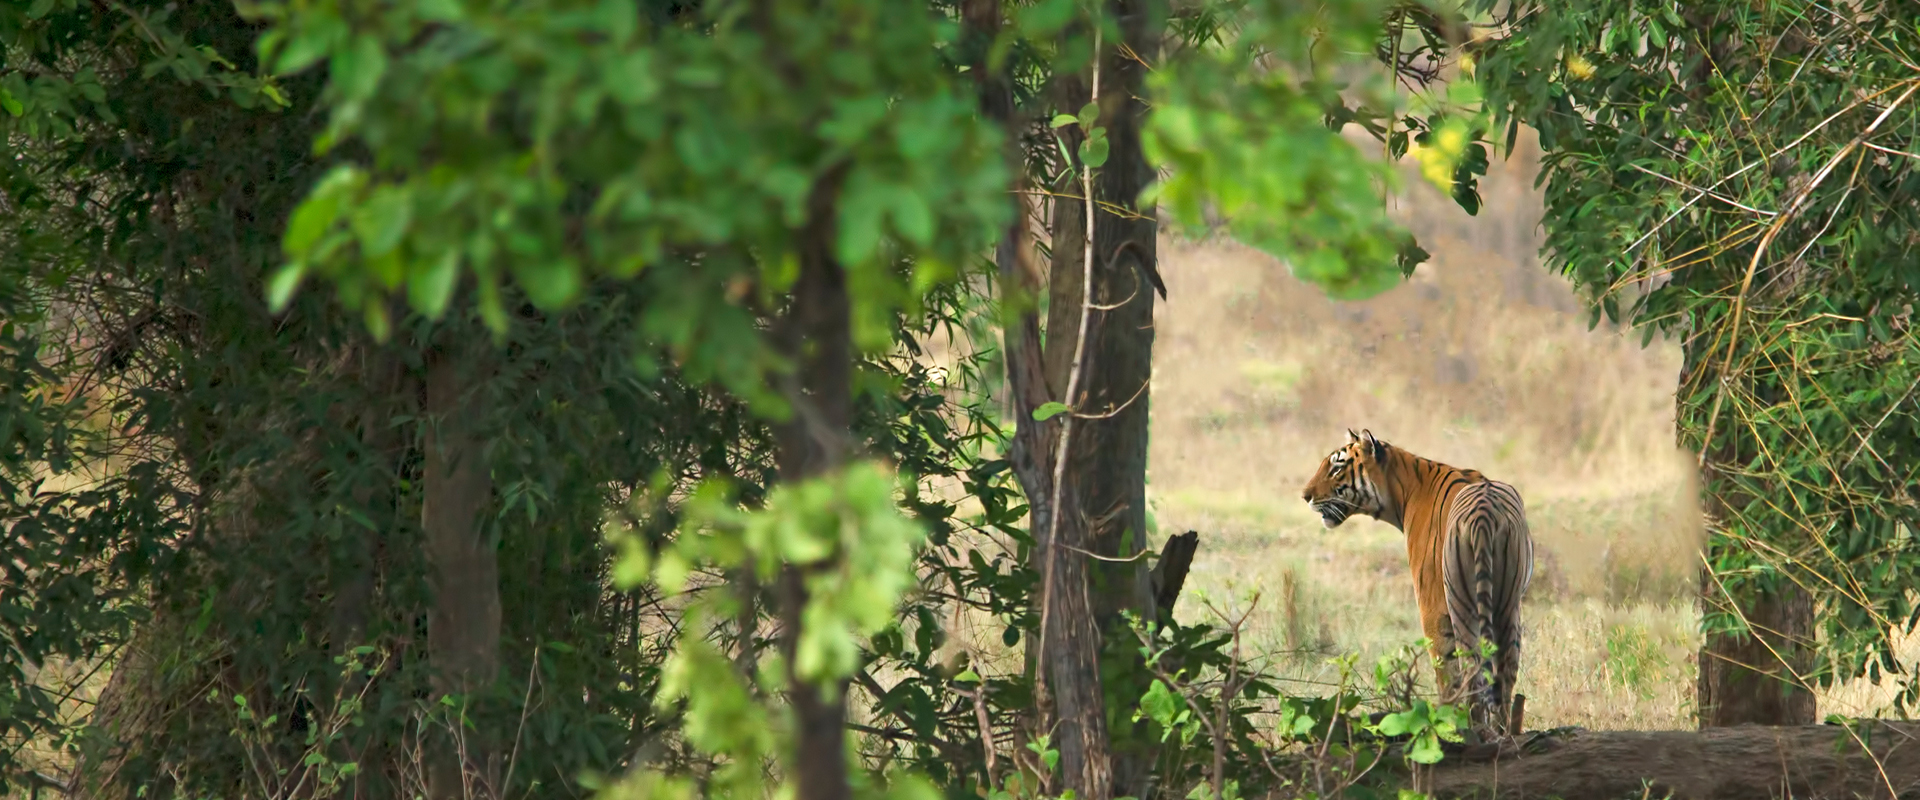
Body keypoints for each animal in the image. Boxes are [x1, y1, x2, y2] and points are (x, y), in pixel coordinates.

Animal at [1299, 429, 1535, 739]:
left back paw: (1472, 733)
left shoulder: (1432, 607)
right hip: (1509, 605)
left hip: (1461, 604)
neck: (1402, 490)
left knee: (1470, 674)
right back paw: (1503, 733)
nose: (1305, 496)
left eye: (1337, 467)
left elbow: (1447, 674)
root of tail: (1483, 512)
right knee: (1504, 674)